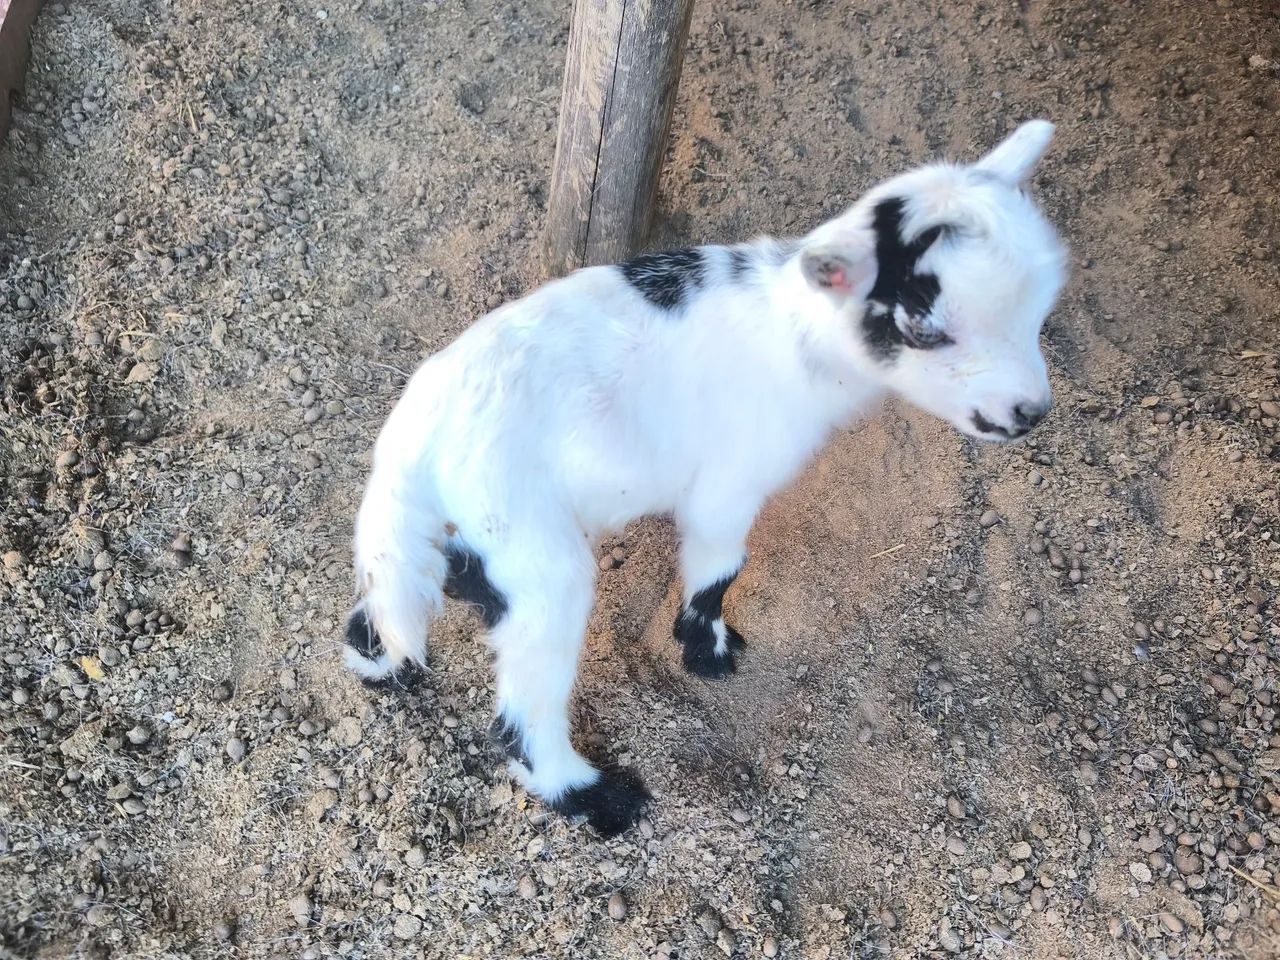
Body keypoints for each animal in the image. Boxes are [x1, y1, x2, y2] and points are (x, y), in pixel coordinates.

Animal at [344, 121, 1068, 836]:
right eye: (924, 328)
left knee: (387, 602)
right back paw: (598, 799)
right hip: (534, 553)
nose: (1029, 413)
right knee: (522, 717)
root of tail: (409, 440)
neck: (793, 335)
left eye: (1041, 307)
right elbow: (718, 570)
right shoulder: (728, 486)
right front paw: (709, 652)